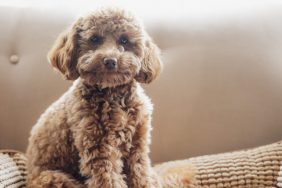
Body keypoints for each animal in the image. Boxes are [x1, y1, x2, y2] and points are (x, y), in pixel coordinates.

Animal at [26, 7, 163, 188]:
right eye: (95, 39)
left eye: (124, 40)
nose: (110, 61)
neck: (113, 94)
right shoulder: (98, 148)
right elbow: (108, 179)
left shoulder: (137, 145)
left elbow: (141, 174)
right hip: (54, 177)